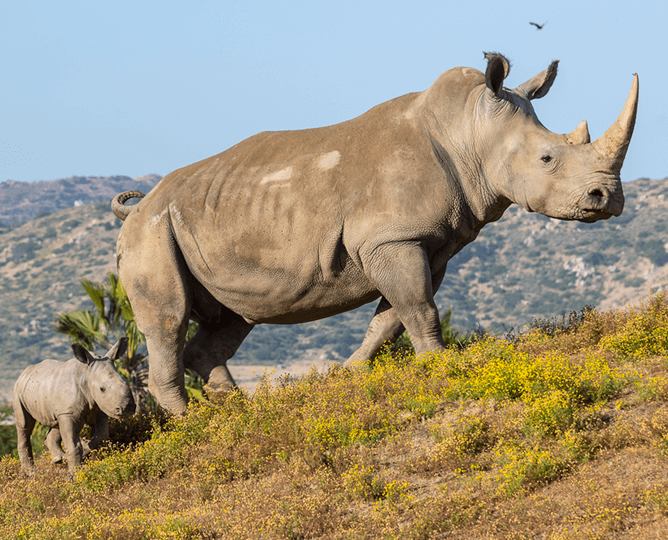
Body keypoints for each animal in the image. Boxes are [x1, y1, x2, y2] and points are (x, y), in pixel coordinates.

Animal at [13, 338, 135, 477]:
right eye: (102, 389)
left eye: (126, 382)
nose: (128, 408)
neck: (86, 374)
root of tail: (24, 373)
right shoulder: (69, 412)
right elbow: (73, 445)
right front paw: (76, 475)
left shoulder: (98, 409)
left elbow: (102, 436)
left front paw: (85, 448)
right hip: (18, 390)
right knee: (24, 424)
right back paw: (31, 473)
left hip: (43, 389)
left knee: (56, 423)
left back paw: (59, 459)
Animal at [112, 53, 638, 415]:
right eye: (548, 158)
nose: (607, 198)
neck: (469, 129)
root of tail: (138, 208)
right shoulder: (393, 238)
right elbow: (419, 307)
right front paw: (442, 366)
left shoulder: (428, 242)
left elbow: (392, 317)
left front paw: (349, 373)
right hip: (151, 233)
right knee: (168, 319)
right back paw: (192, 424)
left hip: (197, 223)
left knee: (233, 317)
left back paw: (237, 412)